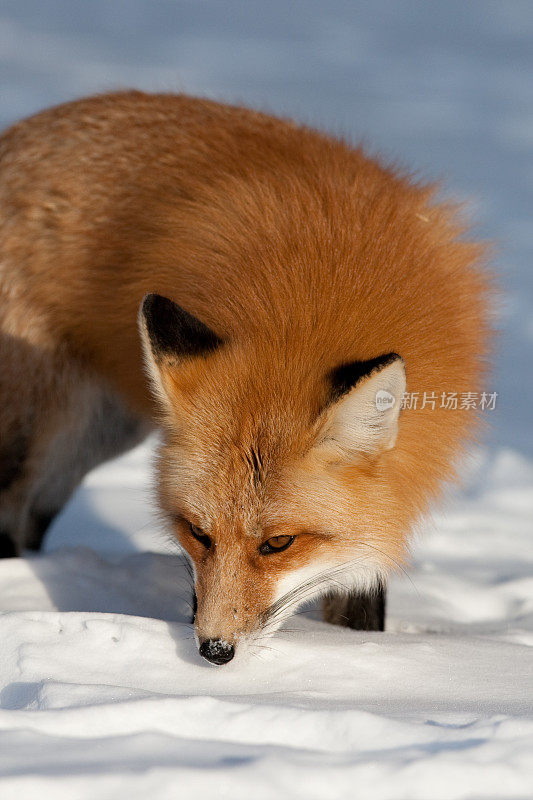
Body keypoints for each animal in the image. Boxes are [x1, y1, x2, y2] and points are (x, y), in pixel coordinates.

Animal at [0, 92, 490, 664]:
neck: (308, 305)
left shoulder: (378, 508)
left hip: (94, 437)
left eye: (278, 543)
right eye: (197, 532)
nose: (214, 650)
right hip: (47, 433)